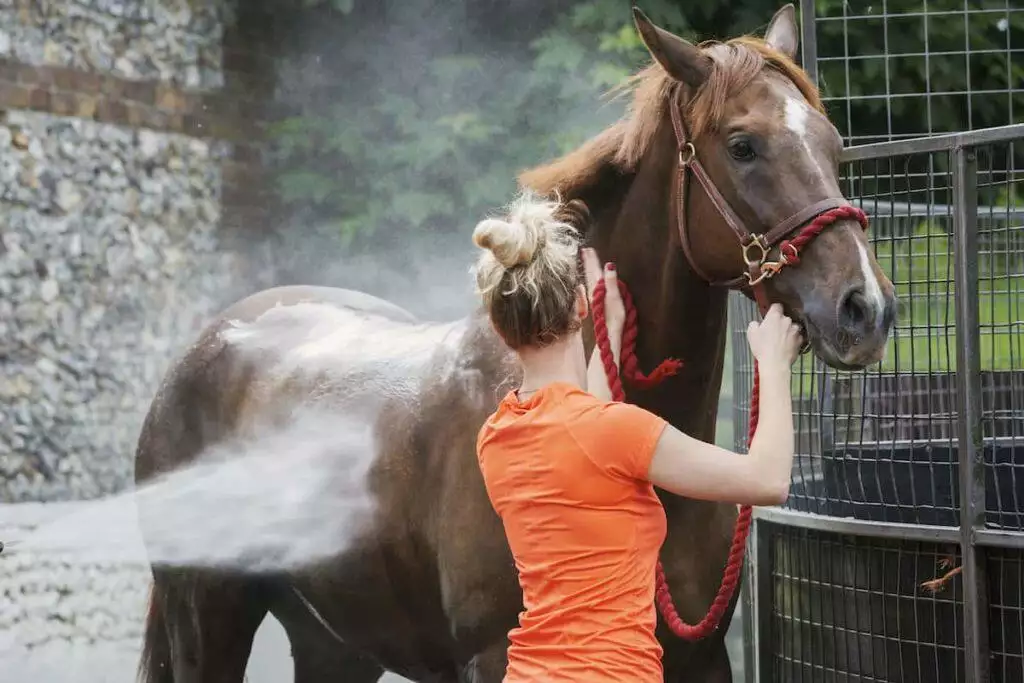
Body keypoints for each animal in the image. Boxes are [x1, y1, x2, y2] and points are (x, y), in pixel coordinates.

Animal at [133, 5, 897, 682]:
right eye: (743, 145)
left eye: (832, 146)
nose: (867, 307)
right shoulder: (497, 656)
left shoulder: (702, 661)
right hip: (208, 621)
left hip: (337, 646)